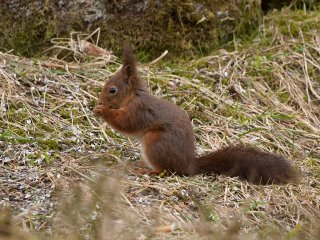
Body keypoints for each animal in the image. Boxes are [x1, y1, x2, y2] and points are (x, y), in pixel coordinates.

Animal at [93, 46, 298, 185]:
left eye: (112, 90)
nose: (100, 99)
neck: (133, 96)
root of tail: (189, 165)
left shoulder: (139, 110)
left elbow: (125, 123)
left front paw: (101, 110)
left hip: (155, 143)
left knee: (167, 171)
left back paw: (146, 171)